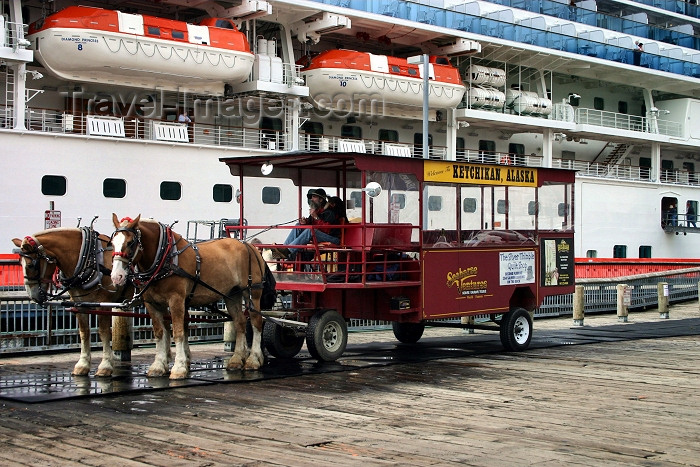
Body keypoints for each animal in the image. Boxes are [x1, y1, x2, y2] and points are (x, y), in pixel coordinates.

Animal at [12, 227, 131, 376]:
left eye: (31, 265)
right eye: (19, 263)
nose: (32, 295)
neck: (89, 260)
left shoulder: (104, 304)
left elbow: (103, 332)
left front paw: (105, 366)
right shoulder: (79, 304)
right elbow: (84, 332)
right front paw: (82, 364)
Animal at [110, 216, 266, 380]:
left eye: (130, 242)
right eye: (112, 243)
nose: (116, 276)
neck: (165, 257)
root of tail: (249, 246)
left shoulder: (176, 299)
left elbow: (178, 333)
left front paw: (179, 367)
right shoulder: (152, 303)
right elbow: (160, 333)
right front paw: (159, 365)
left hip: (252, 293)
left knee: (256, 322)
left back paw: (254, 359)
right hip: (232, 294)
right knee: (240, 322)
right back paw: (236, 360)